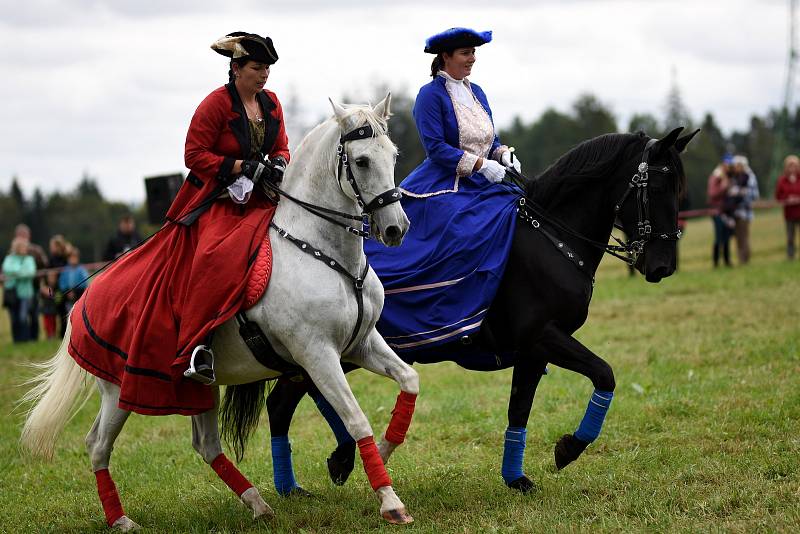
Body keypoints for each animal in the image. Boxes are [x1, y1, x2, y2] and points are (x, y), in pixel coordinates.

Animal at [18, 95, 418, 532]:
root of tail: (85, 297)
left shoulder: (360, 344)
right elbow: (356, 418)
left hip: (199, 387)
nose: (396, 229)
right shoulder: (317, 355)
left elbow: (409, 381)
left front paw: (382, 451)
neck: (319, 251)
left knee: (206, 445)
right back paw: (121, 520)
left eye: (393, 155)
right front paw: (390, 501)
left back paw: (258, 503)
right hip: (118, 389)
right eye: (361, 161)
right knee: (97, 445)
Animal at [228, 125, 696, 494]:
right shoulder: (544, 335)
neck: (549, 236)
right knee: (287, 402)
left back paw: (312, 475)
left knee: (286, 403)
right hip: (319, 349)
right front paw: (568, 448)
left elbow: (520, 407)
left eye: (679, 189)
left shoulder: (533, 350)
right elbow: (605, 374)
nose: (662, 266)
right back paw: (324, 468)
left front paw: (516, 478)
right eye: (657, 187)